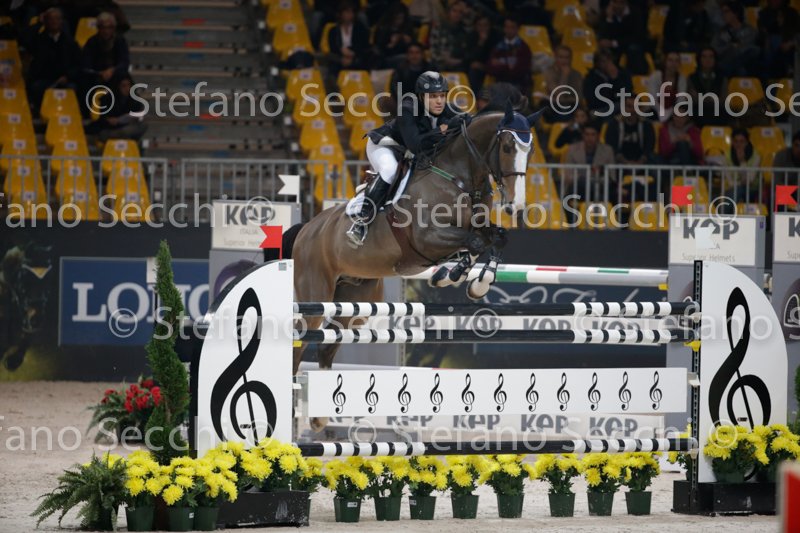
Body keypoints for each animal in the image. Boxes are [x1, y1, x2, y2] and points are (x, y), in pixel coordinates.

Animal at [286, 105, 540, 427]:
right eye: (507, 146)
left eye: (530, 150)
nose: (515, 206)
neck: (459, 176)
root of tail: (307, 229)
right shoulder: (427, 238)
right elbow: (474, 242)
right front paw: (454, 275)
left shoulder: (476, 228)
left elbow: (495, 238)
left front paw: (471, 282)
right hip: (315, 296)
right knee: (300, 340)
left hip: (354, 302)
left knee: (328, 344)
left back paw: (321, 417)